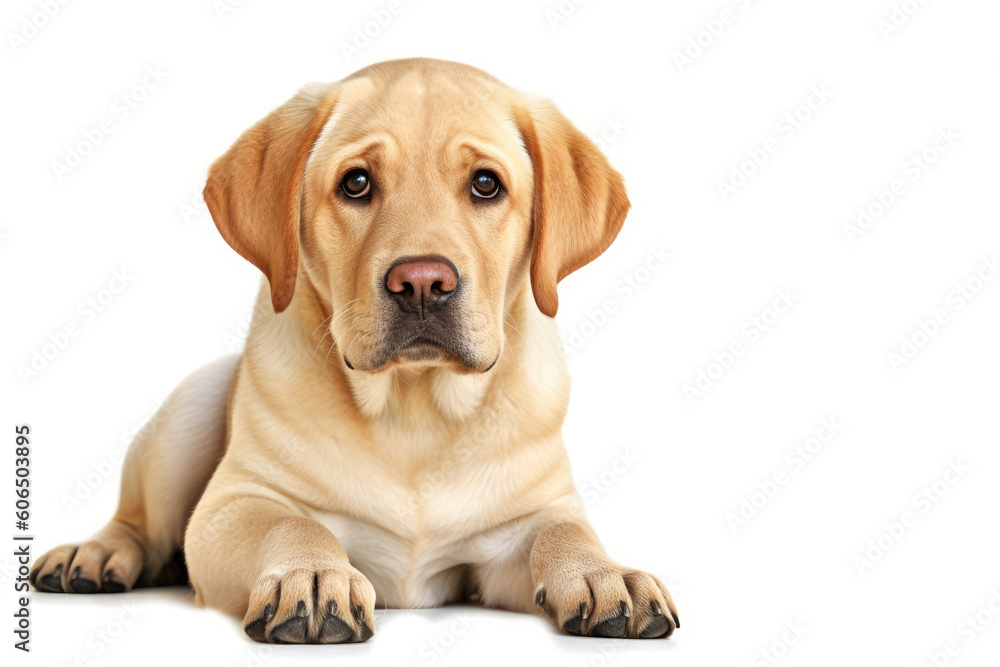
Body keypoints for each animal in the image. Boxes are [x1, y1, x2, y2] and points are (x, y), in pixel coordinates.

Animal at [29, 60, 680, 644]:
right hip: (190, 408)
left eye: (486, 184)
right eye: (357, 183)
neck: (415, 410)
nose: (423, 283)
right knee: (139, 521)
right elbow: (289, 523)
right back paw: (93, 553)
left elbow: (565, 532)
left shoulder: (524, 523)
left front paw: (604, 574)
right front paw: (313, 575)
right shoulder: (230, 506)